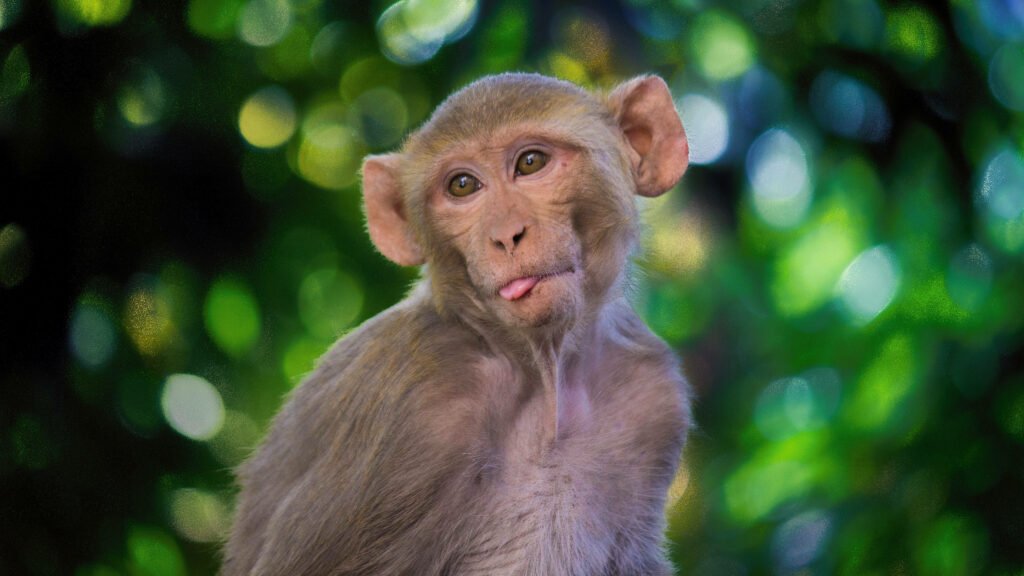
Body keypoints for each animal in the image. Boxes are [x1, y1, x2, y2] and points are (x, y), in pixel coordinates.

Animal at [223, 72, 692, 576]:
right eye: (463, 186)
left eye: (531, 162)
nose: (505, 235)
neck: (542, 374)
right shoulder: (410, 404)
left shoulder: (653, 394)